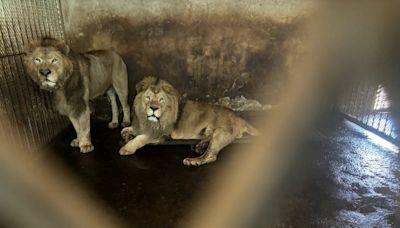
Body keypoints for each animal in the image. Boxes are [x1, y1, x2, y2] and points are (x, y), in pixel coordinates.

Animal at [119, 76, 260, 166]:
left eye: (161, 100)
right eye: (148, 97)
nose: (153, 108)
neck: (148, 120)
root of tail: (240, 118)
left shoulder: (161, 134)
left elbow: (140, 138)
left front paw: (126, 148)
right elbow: (126, 129)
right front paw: (127, 135)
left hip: (221, 133)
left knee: (211, 156)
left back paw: (193, 161)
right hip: (210, 131)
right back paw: (200, 145)